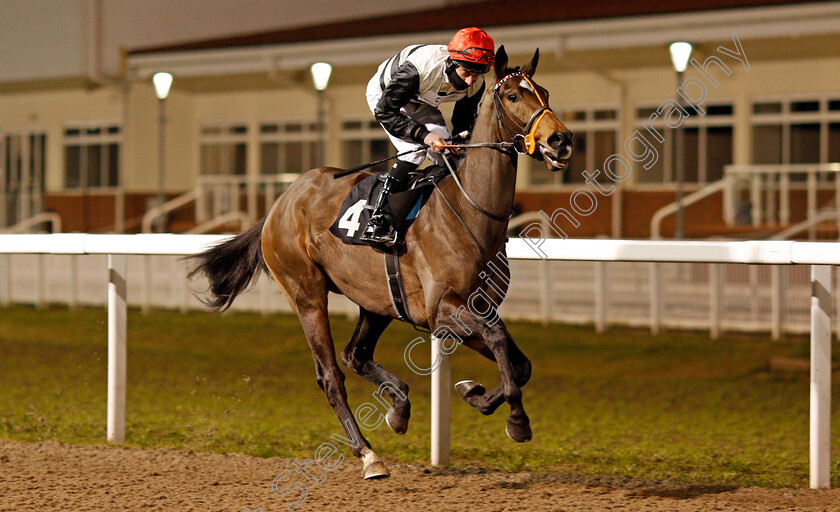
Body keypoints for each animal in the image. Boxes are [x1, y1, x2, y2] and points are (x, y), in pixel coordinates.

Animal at [189, 46, 572, 478]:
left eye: (544, 91)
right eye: (512, 95)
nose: (561, 139)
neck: (470, 209)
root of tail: (280, 204)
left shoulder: (476, 308)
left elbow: (518, 362)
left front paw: (473, 393)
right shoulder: (442, 311)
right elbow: (499, 342)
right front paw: (516, 420)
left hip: (377, 300)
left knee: (355, 355)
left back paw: (399, 408)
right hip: (306, 294)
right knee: (330, 374)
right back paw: (368, 454)